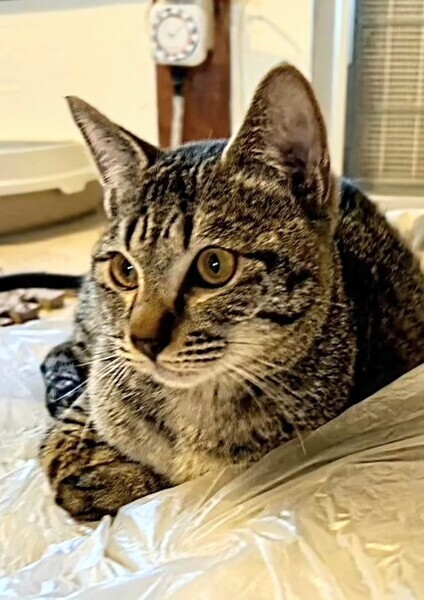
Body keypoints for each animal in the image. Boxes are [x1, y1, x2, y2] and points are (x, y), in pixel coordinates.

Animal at [39, 64, 424, 521]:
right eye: (124, 270)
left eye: (214, 266)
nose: (143, 340)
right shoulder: (97, 382)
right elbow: (67, 447)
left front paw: (112, 481)